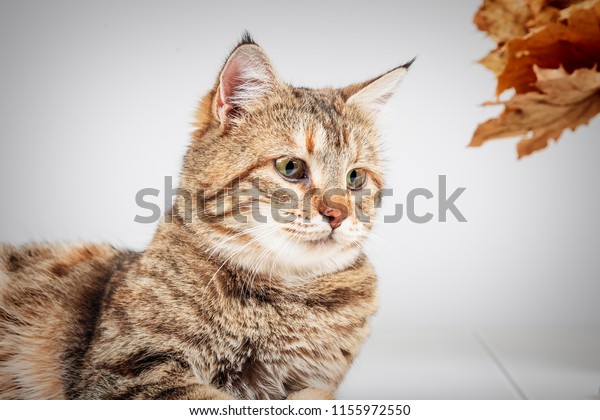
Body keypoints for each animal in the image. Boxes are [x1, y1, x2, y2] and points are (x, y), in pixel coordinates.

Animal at [0, 34, 412, 398]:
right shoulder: (123, 371)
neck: (289, 291)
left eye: (355, 177)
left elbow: (314, 394)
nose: (337, 214)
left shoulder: (316, 378)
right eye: (291, 167)